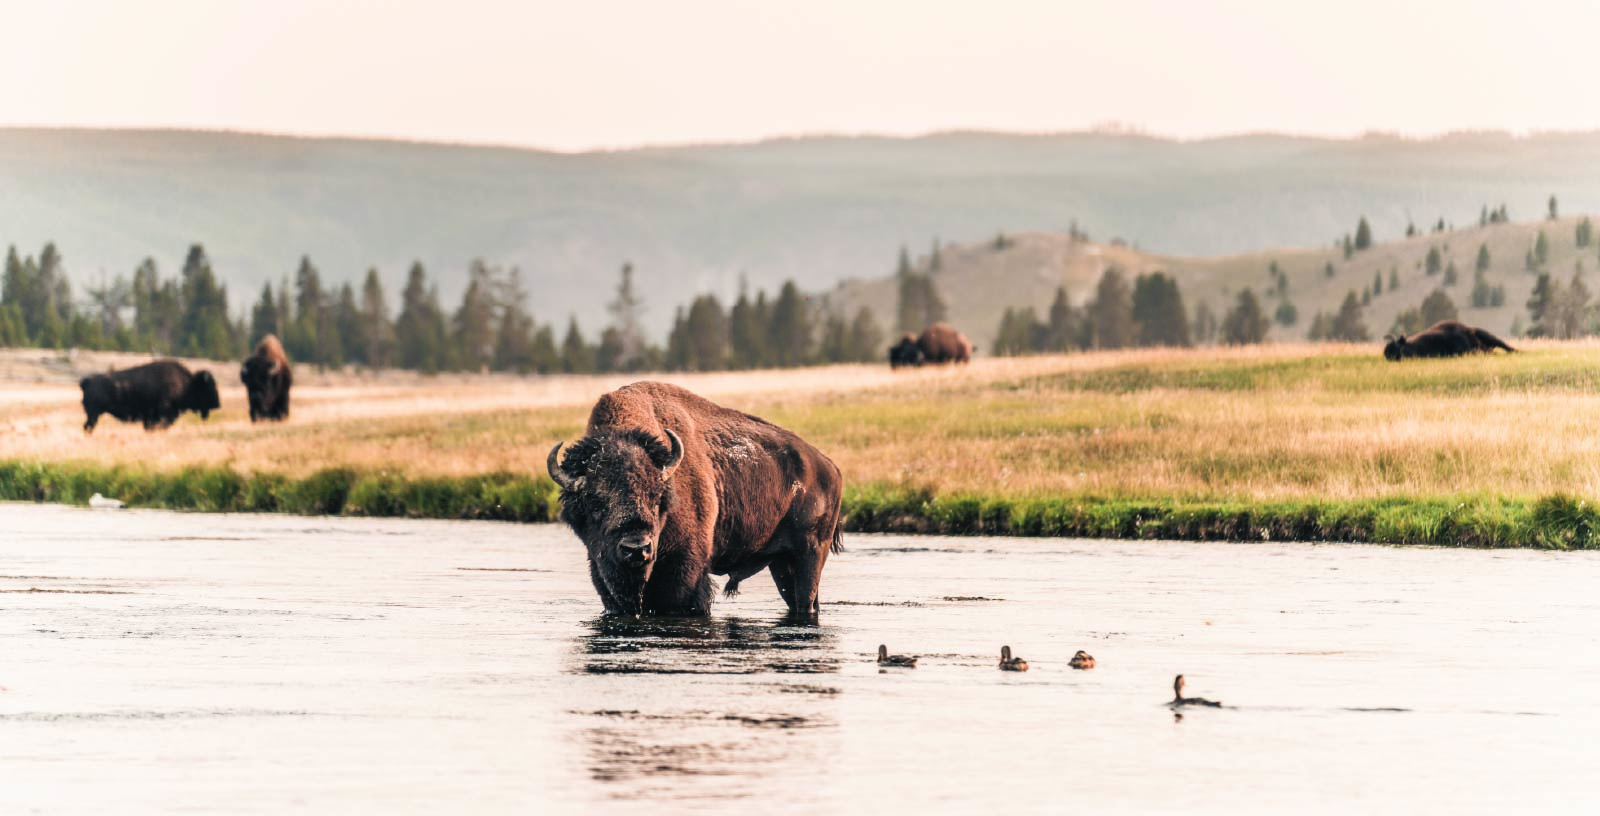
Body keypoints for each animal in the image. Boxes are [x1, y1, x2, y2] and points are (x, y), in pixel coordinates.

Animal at [80, 360, 220, 433]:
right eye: (209, 387)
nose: (217, 404)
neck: (187, 384)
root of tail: (88, 382)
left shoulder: (150, 418)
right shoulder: (163, 414)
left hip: (93, 414)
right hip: (93, 414)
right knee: (88, 426)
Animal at [547, 381, 844, 618]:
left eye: (656, 498)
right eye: (595, 502)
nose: (637, 548)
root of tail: (830, 467)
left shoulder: (685, 572)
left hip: (811, 551)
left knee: (806, 599)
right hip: (782, 562)